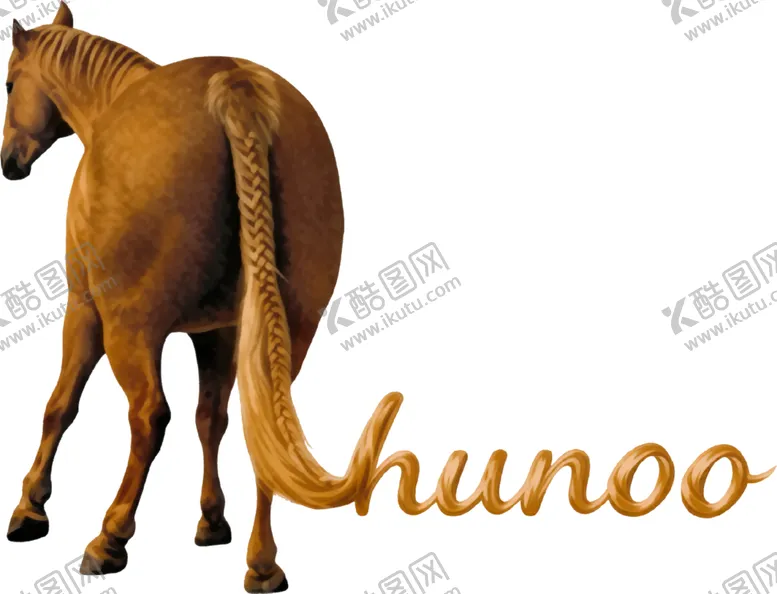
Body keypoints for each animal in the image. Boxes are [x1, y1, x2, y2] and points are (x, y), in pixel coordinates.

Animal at [1, 4, 405, 591]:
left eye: (10, 83)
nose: (10, 161)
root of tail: (233, 88)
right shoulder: (218, 332)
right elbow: (210, 418)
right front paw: (213, 521)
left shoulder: (85, 312)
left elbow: (60, 406)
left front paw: (30, 510)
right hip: (285, 330)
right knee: (268, 424)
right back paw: (263, 563)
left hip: (130, 330)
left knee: (148, 417)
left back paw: (110, 537)